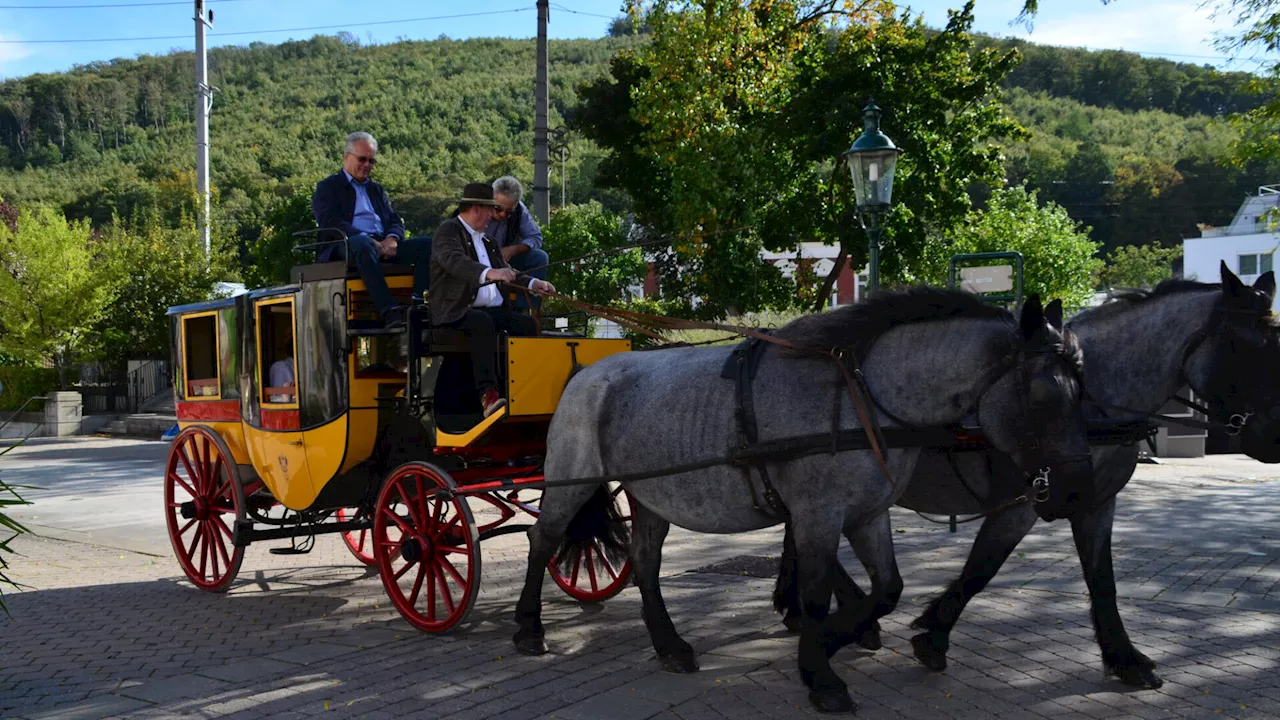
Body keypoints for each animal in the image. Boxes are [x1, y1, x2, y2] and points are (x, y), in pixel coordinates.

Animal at [514, 286, 1095, 712]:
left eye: (1081, 388)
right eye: (1044, 393)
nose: (1076, 487)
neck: (862, 396)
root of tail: (588, 373)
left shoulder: (867, 514)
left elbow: (887, 589)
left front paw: (839, 639)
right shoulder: (818, 516)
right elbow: (817, 595)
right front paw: (821, 672)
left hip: (652, 496)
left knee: (644, 562)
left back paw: (670, 645)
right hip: (573, 479)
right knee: (542, 539)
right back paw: (527, 628)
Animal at [768, 260, 1280, 686]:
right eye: (1248, 347)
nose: (1273, 437)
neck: (1087, 404)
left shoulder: (1095, 504)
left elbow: (1102, 580)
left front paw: (1124, 658)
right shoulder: (1023, 505)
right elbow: (982, 568)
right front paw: (933, 635)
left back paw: (799, 606)